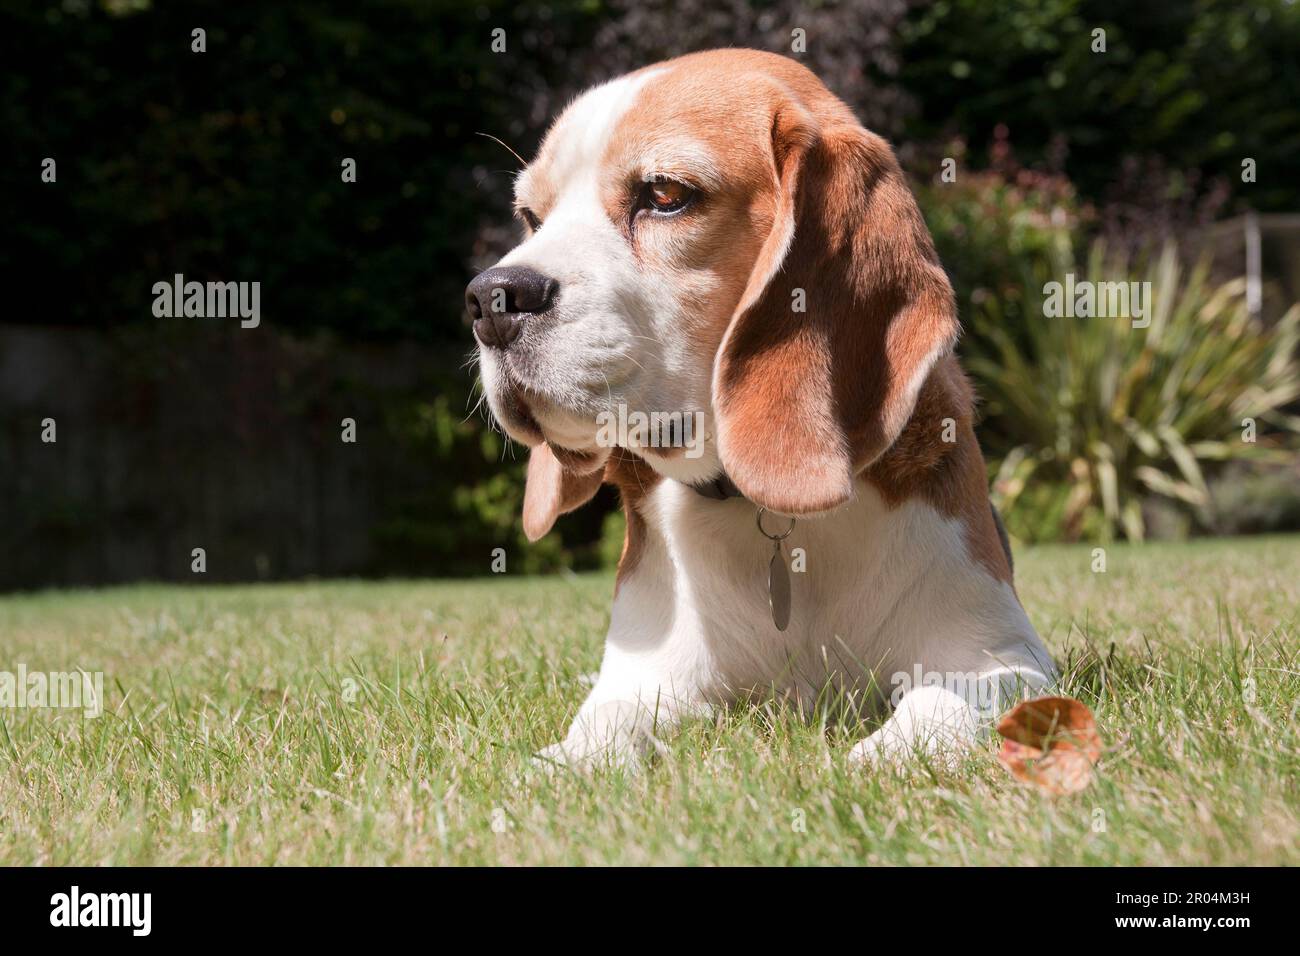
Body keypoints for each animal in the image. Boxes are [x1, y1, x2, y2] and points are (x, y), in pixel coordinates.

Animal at [467, 52, 1055, 770]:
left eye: (665, 195)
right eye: (532, 216)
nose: (490, 299)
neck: (765, 513)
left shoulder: (1000, 657)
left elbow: (943, 700)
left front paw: (887, 755)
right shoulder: (649, 676)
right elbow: (606, 719)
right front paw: (567, 763)